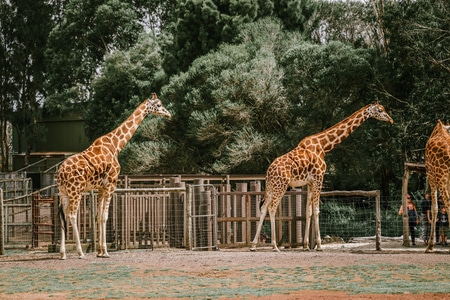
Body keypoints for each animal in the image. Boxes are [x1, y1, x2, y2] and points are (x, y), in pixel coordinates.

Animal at [250, 102, 394, 252]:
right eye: (380, 110)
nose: (391, 120)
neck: (324, 146)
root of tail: (268, 171)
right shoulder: (319, 177)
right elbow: (317, 210)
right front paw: (319, 245)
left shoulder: (310, 182)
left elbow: (308, 211)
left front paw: (306, 245)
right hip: (281, 186)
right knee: (272, 208)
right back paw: (274, 245)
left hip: (271, 187)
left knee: (264, 208)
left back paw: (253, 245)